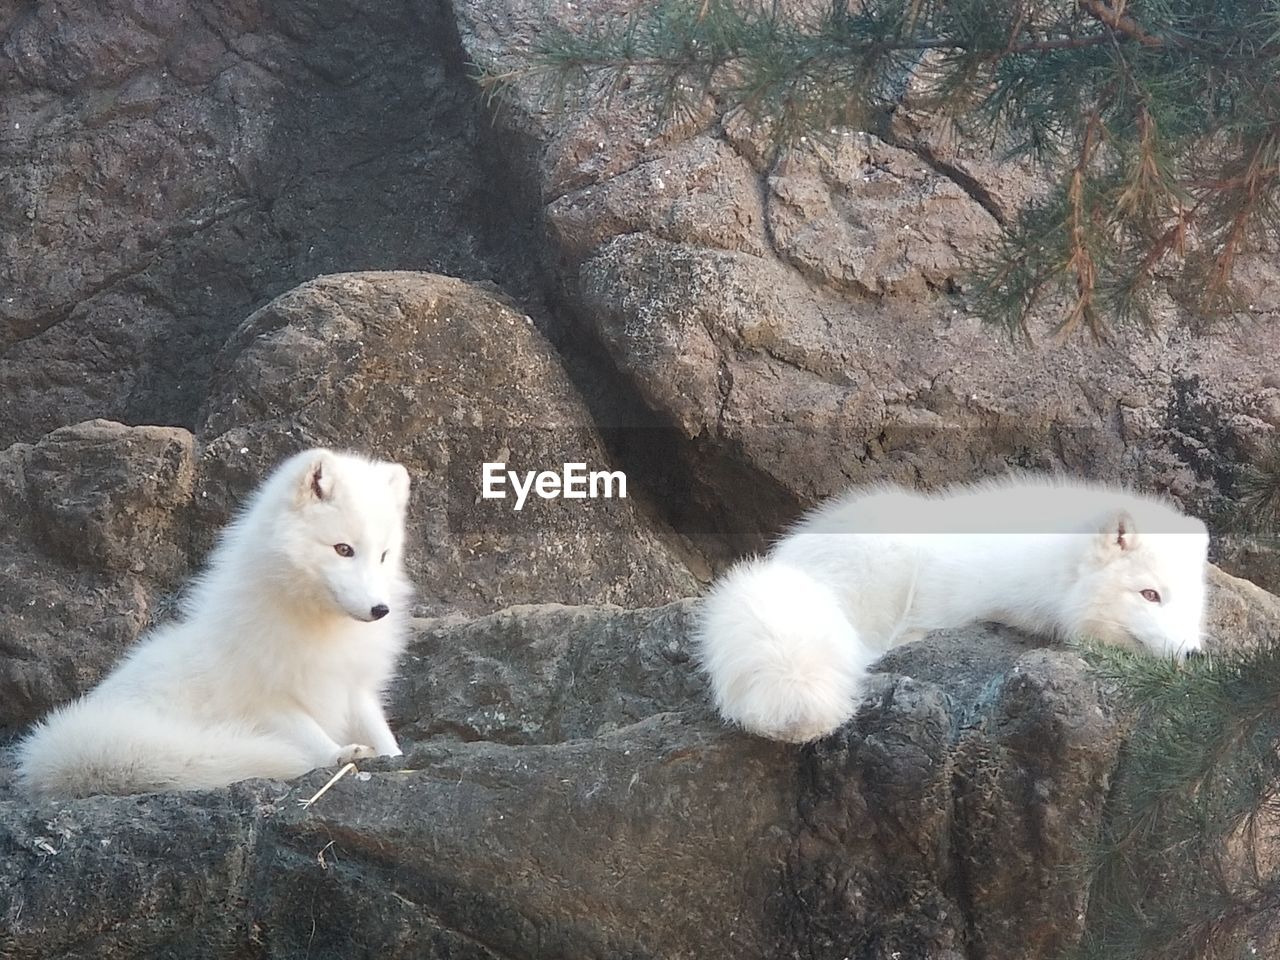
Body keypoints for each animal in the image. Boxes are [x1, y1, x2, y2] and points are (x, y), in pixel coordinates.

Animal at [16, 448, 414, 798]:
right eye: (343, 549)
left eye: (383, 555)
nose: (380, 609)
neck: (322, 630)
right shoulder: (264, 699)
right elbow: (311, 736)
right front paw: (341, 754)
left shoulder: (354, 688)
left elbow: (379, 730)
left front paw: (393, 756)